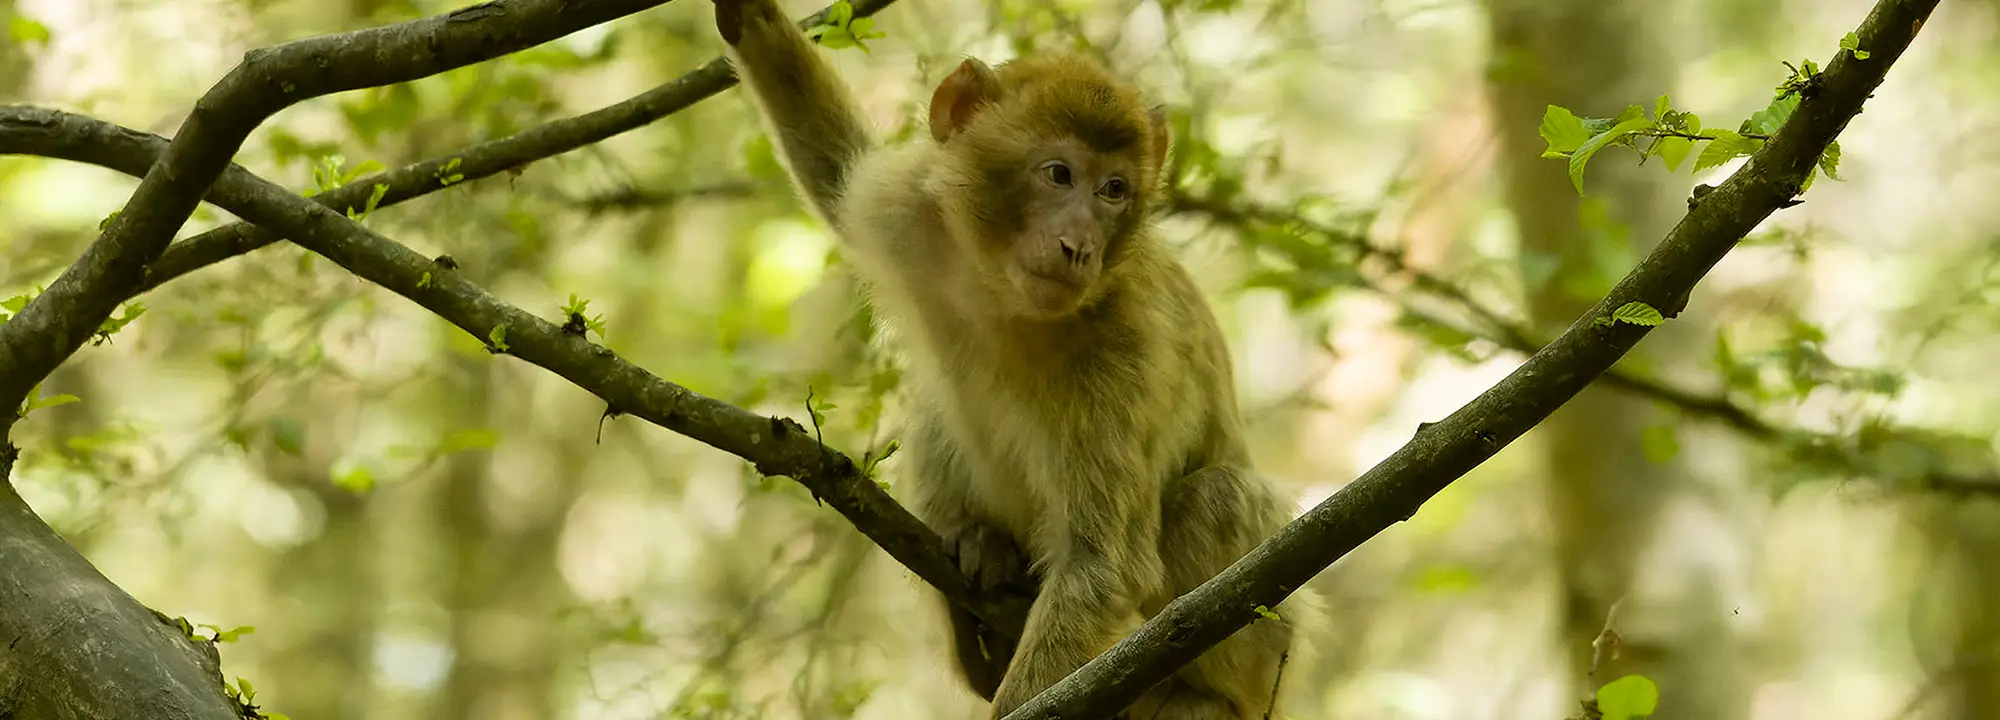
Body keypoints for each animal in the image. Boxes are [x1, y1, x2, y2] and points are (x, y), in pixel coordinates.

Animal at [710, 2, 1318, 717]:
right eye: (1058, 174)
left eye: (1114, 189)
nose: (1080, 246)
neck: (999, 294)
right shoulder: (907, 209)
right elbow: (837, 177)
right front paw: (750, 21)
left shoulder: (1125, 350)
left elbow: (1102, 568)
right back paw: (983, 580)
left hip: (1272, 651)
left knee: (1215, 498)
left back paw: (1184, 693)